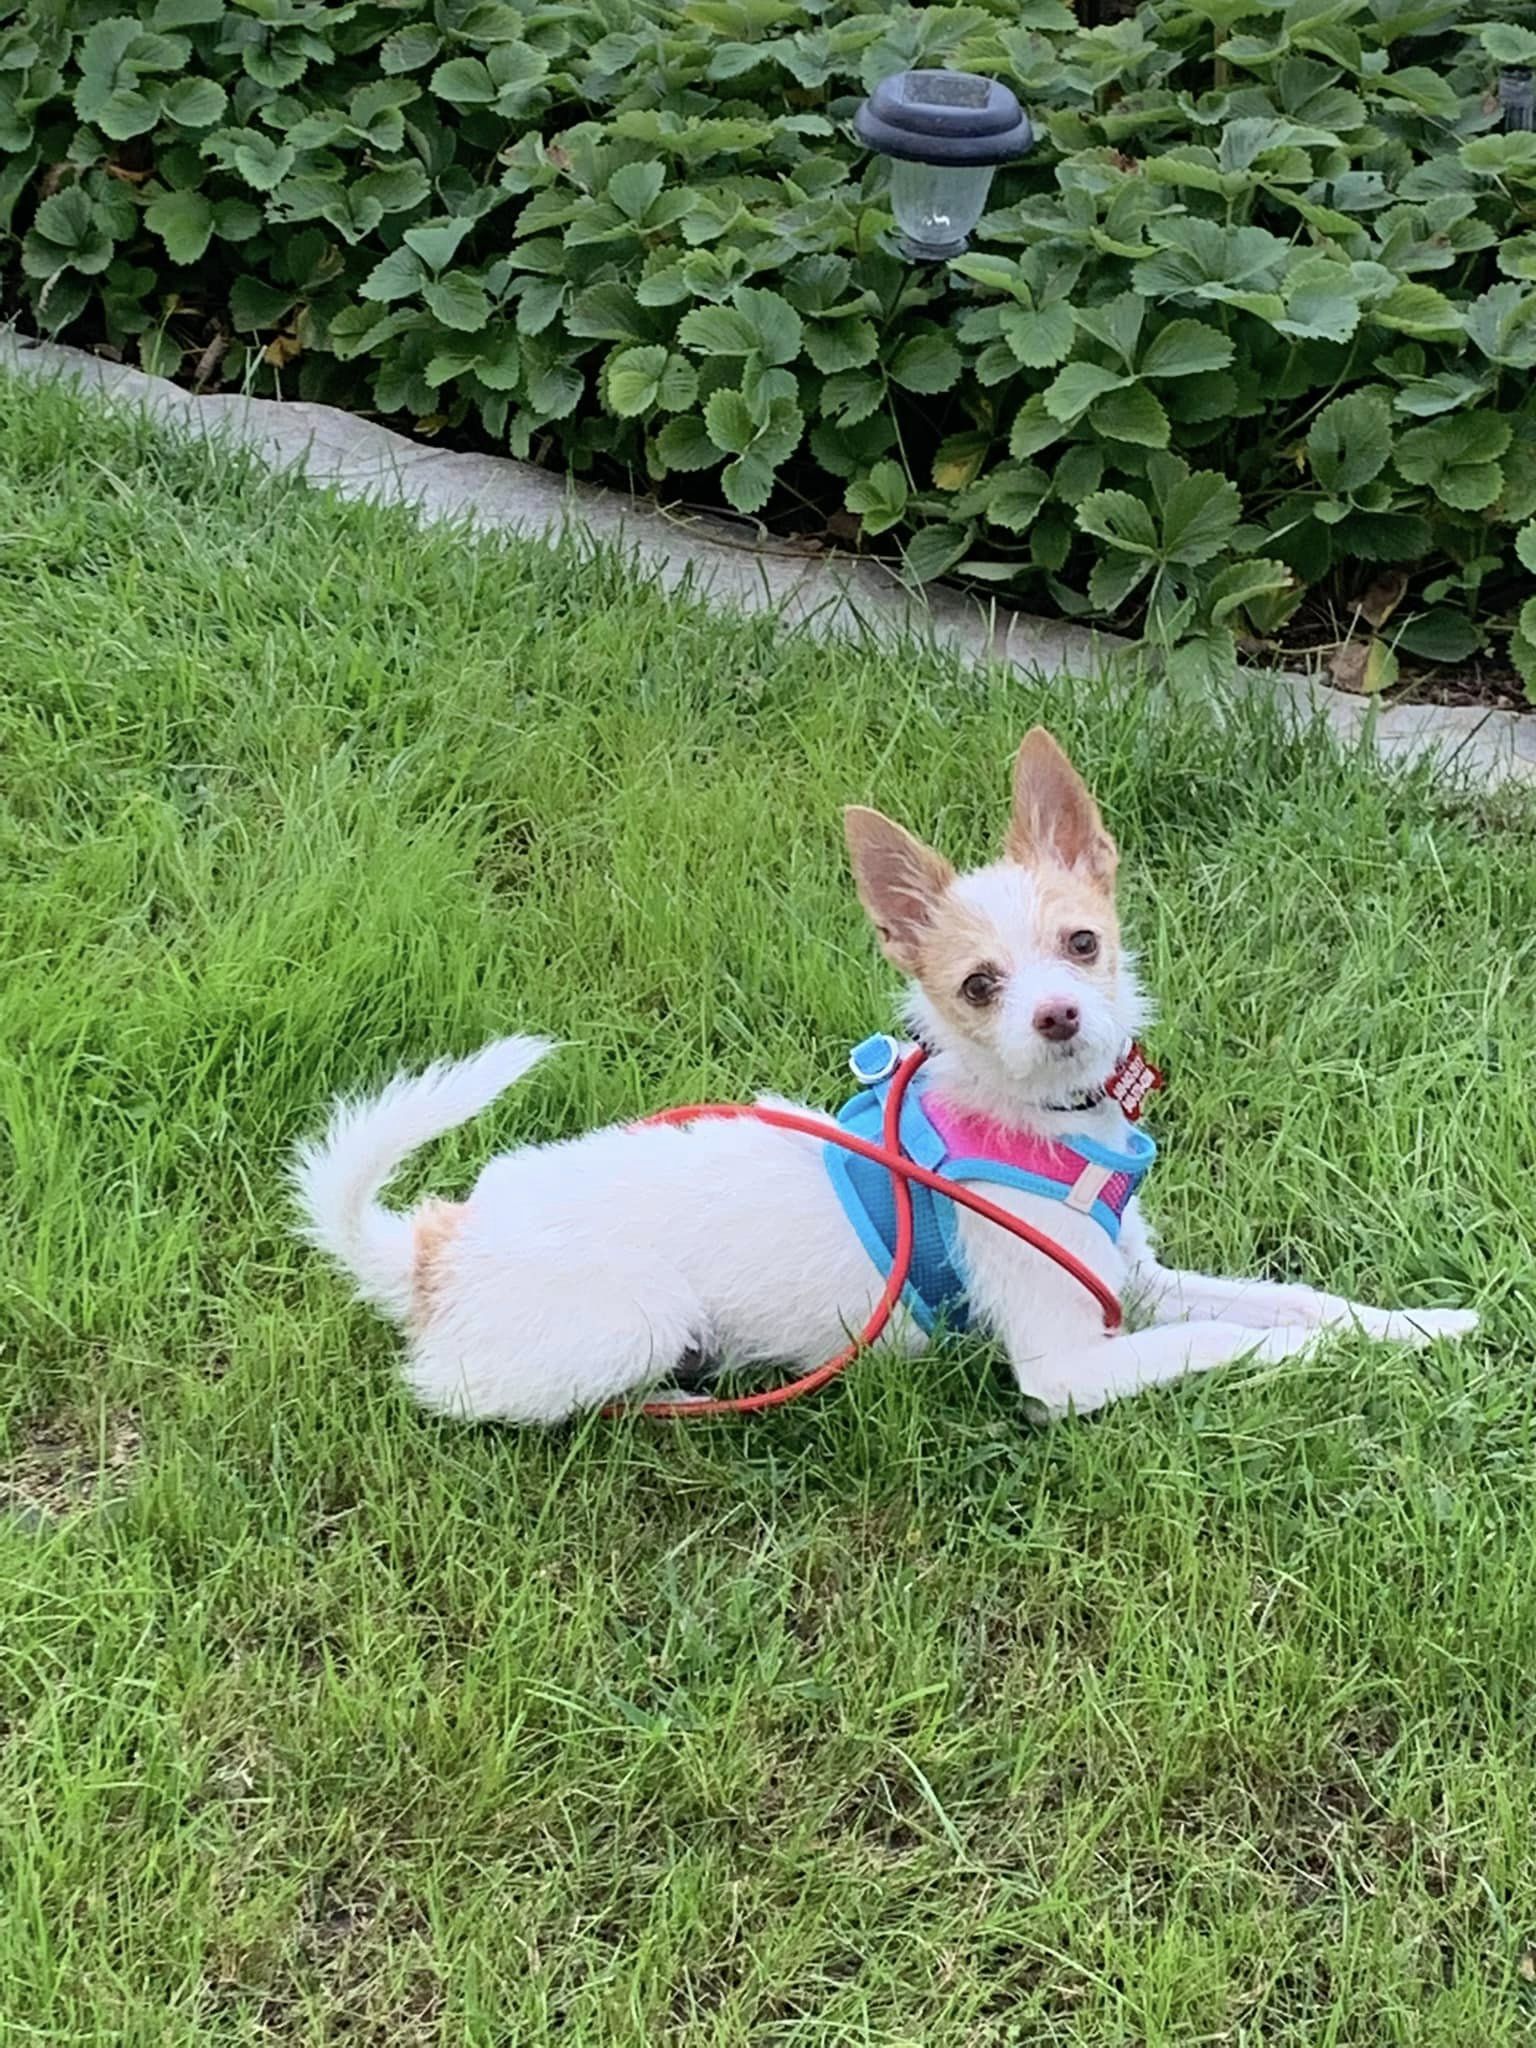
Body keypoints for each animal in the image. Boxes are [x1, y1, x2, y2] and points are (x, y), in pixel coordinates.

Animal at [290, 737, 1482, 1425]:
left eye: (1083, 943)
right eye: (979, 985)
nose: (1059, 1016)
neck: (1034, 1123)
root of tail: (433, 1246)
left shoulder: (1131, 1282)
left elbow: (1294, 1298)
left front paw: (1417, 1325)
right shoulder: (1068, 1365)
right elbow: (1226, 1339)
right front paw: (1313, 1354)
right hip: (633, 1316)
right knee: (461, 1396)